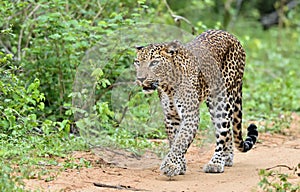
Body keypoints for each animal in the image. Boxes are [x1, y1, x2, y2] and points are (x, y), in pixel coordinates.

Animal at [134, 29, 258, 178]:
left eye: (154, 63)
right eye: (137, 62)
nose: (141, 78)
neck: (168, 87)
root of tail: (232, 36)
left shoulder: (190, 116)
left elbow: (181, 141)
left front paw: (171, 166)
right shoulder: (171, 116)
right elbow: (175, 140)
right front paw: (180, 166)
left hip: (222, 99)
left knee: (223, 130)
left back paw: (216, 163)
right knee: (228, 129)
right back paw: (227, 158)